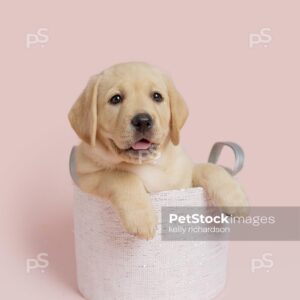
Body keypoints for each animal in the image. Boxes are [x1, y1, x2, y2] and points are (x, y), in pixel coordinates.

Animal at [68, 62, 248, 240]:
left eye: (157, 96)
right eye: (116, 99)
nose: (142, 121)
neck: (148, 164)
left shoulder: (184, 181)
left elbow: (209, 168)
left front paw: (236, 199)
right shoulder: (86, 177)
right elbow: (121, 176)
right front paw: (141, 218)